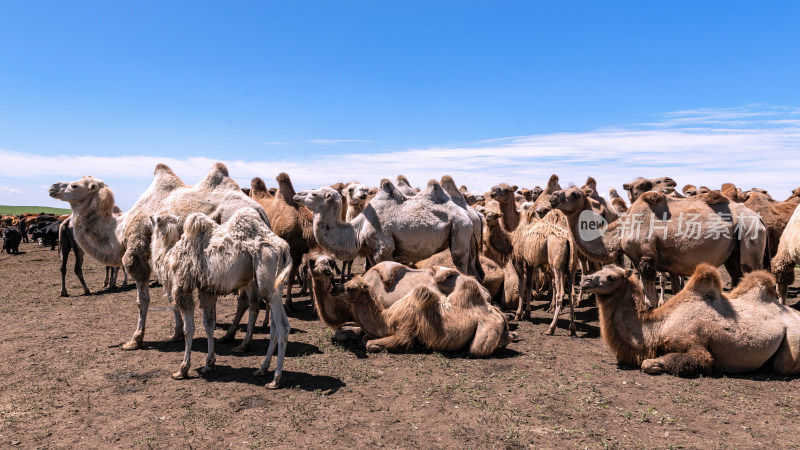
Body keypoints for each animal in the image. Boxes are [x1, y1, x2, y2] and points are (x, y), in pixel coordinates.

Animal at [49, 163, 268, 350]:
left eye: (75, 185)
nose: (52, 187)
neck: (119, 231)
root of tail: (260, 210)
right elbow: (170, 296)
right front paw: (177, 334)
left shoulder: (136, 254)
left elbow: (142, 301)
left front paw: (135, 340)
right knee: (249, 298)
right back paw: (230, 336)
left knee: (251, 299)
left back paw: (244, 343)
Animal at [152, 209, 292, 388]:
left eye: (157, 219)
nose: (150, 218)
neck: (167, 255)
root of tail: (283, 248)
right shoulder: (206, 290)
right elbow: (209, 324)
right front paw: (209, 364)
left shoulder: (183, 288)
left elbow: (189, 329)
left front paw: (182, 369)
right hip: (275, 287)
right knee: (273, 326)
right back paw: (262, 368)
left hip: (269, 283)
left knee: (283, 327)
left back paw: (275, 379)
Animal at [336, 262, 512, 356]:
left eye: (351, 288)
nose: (334, 289)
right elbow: (365, 338)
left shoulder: (404, 332)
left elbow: (369, 343)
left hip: (485, 331)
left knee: (476, 349)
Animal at [580, 264, 800, 376]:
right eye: (599, 270)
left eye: (611, 277)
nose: (585, 280)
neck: (657, 328)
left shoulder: (694, 346)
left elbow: (650, 363)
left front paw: (656, 365)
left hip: (792, 342)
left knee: (783, 366)